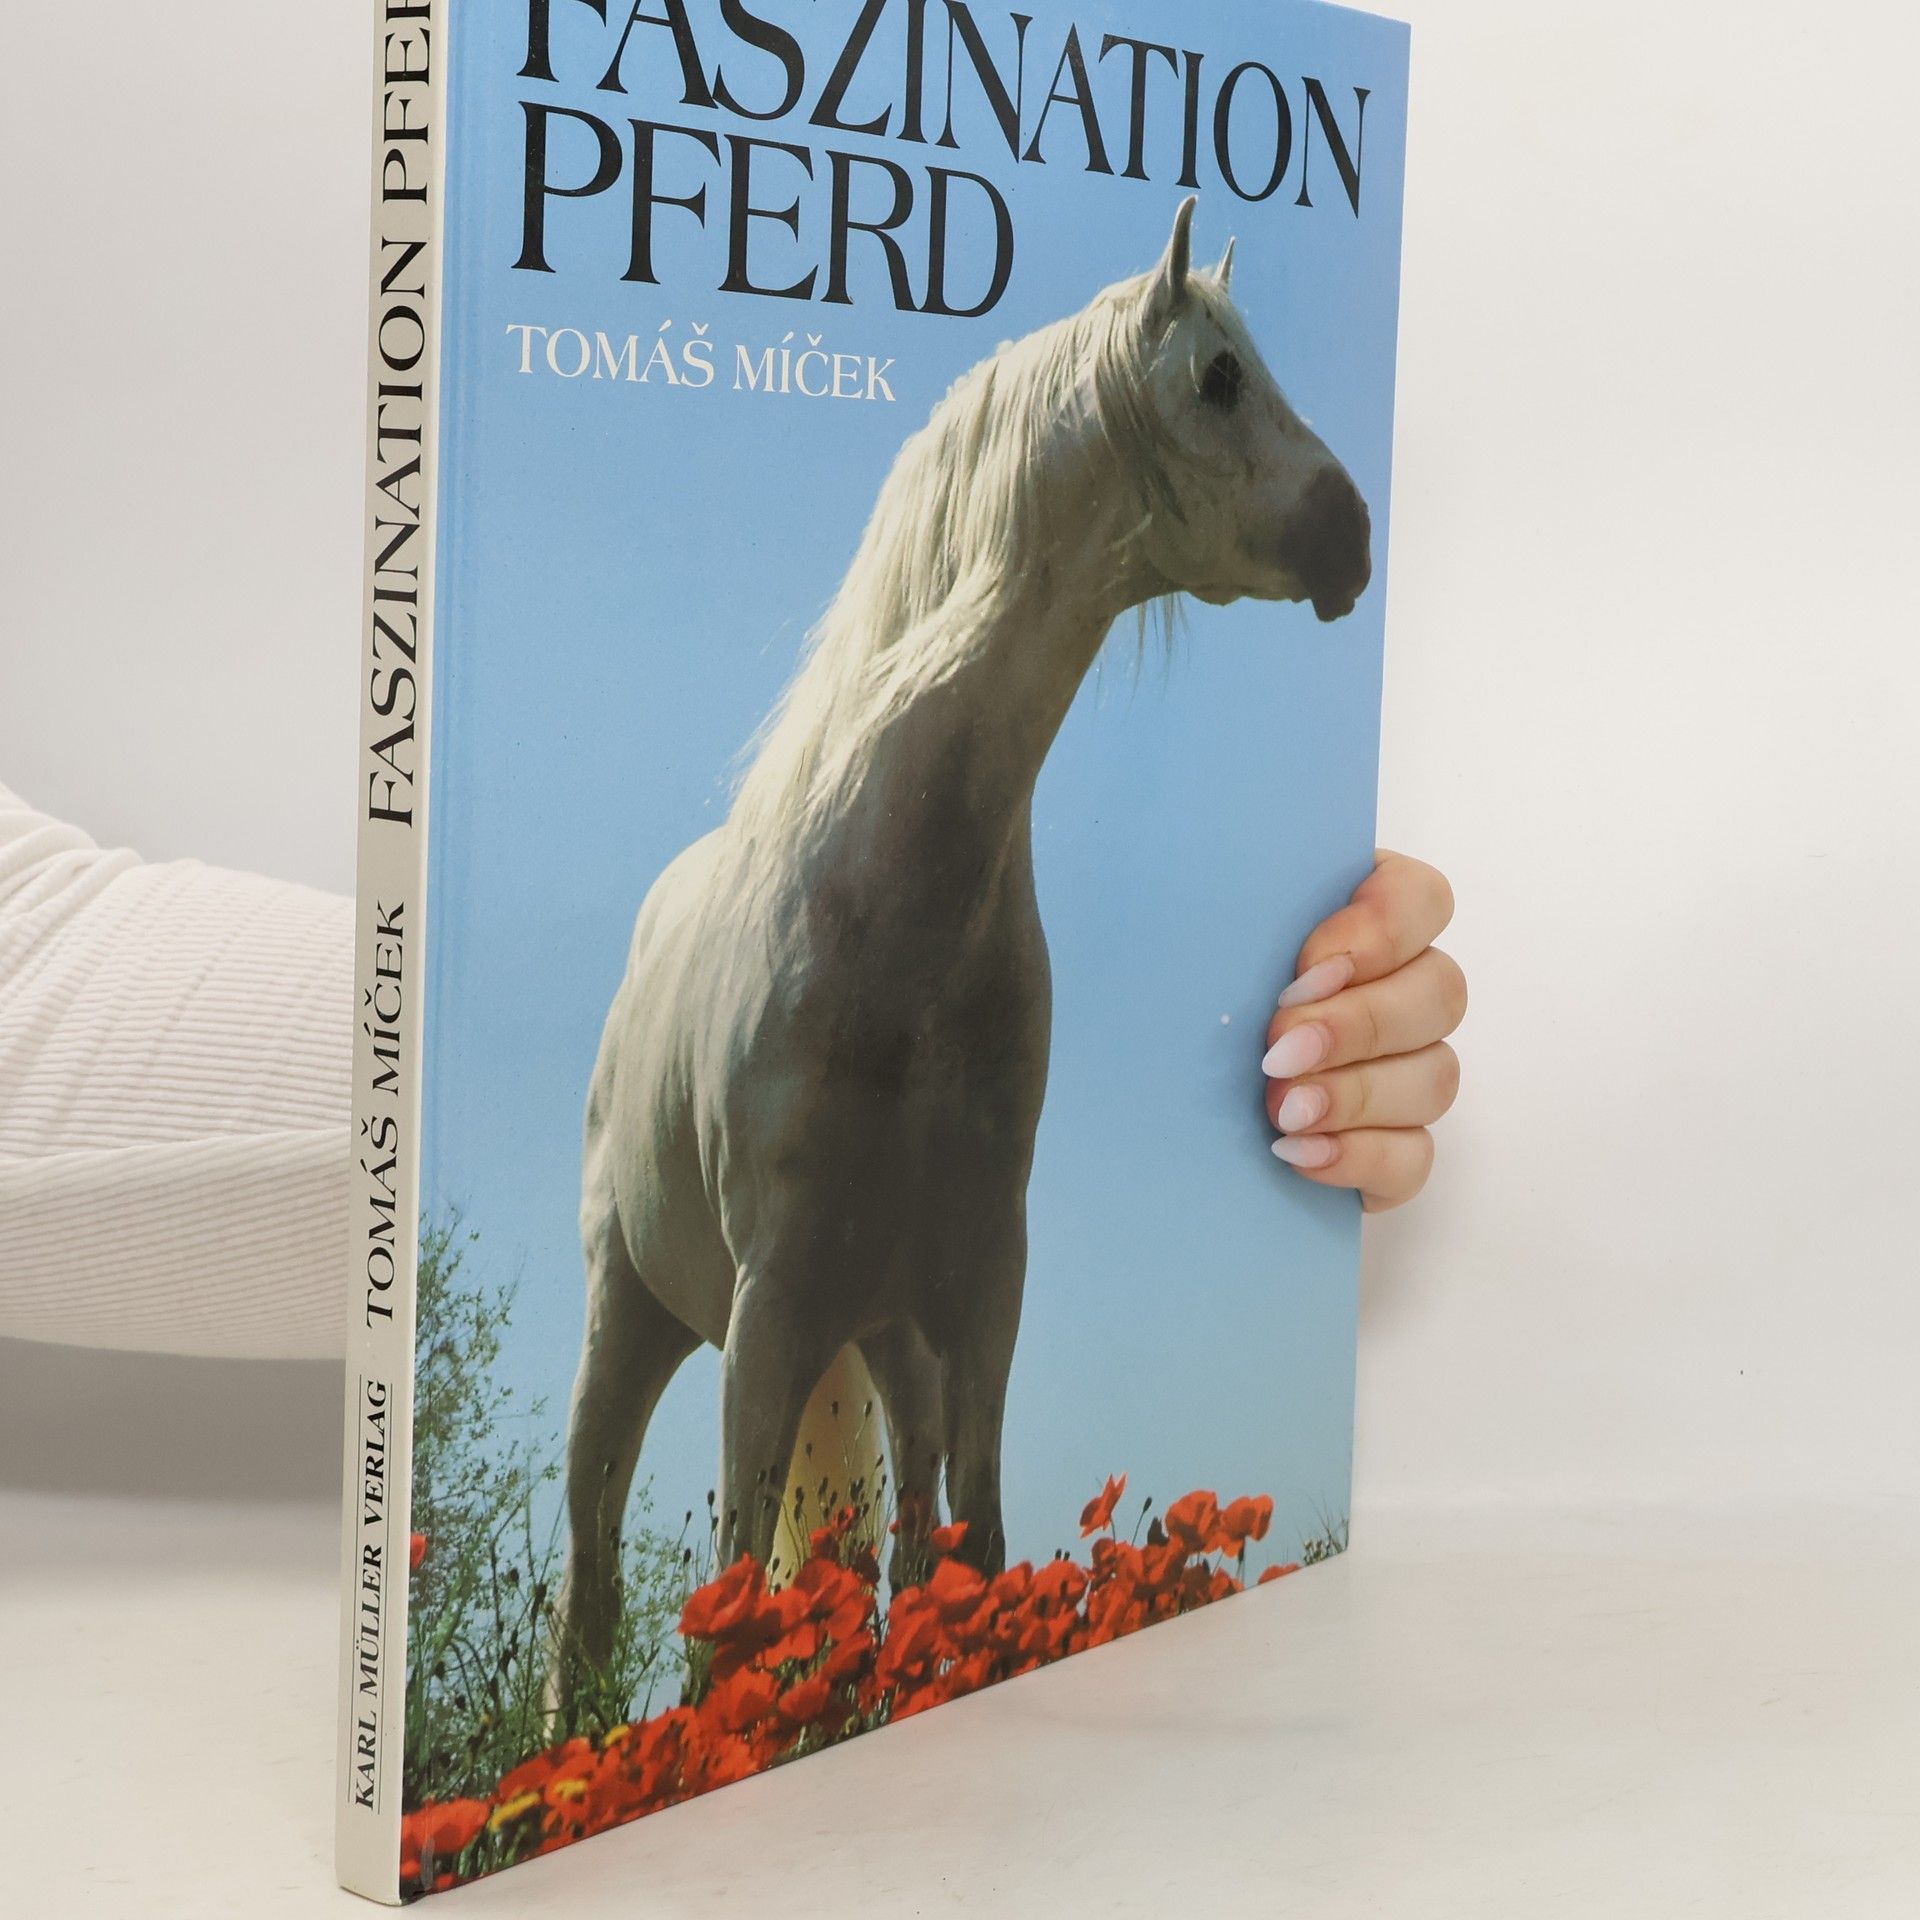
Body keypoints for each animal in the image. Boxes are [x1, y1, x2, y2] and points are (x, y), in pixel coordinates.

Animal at [548, 197, 1371, 1707]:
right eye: (1221, 375)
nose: (1353, 536)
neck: (890, 917)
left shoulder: (983, 1284)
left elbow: (971, 1559)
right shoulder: (773, 1307)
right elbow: (730, 1606)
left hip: (890, 1342)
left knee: (906, 1539)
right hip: (635, 1318)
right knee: (590, 1571)